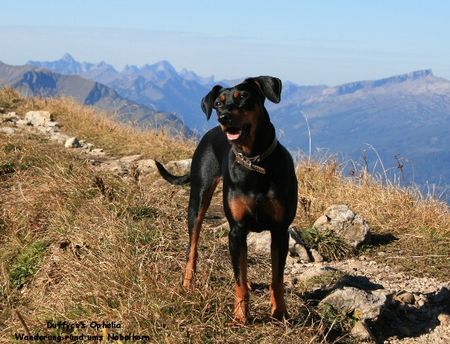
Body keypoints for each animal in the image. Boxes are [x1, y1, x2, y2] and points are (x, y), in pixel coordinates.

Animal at [156, 76, 298, 324]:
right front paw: (240, 315)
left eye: (244, 96)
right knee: (192, 248)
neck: (253, 162)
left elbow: (277, 279)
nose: (223, 118)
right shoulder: (236, 230)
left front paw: (280, 313)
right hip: (198, 200)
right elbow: (239, 281)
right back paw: (187, 283)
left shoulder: (280, 230)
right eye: (218, 104)